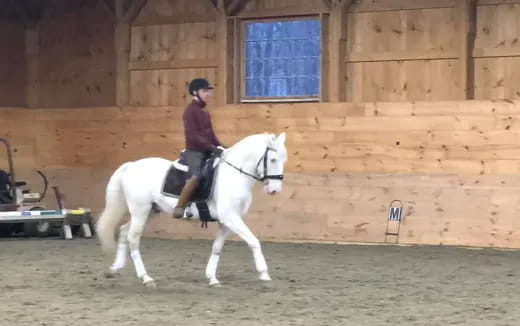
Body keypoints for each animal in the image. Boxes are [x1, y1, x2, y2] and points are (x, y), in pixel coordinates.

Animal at [94, 131, 288, 286]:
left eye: (283, 160)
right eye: (272, 159)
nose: (275, 190)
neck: (234, 175)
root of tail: (132, 165)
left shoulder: (227, 221)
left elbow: (217, 247)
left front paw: (212, 278)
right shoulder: (231, 217)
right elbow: (254, 241)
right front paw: (264, 273)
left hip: (149, 212)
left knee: (124, 231)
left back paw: (115, 268)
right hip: (140, 211)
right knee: (133, 238)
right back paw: (145, 277)